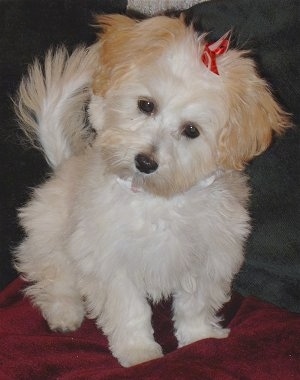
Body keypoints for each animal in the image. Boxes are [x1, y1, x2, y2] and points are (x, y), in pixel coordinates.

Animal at [12, 13, 290, 366]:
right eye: (146, 105)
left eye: (191, 130)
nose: (145, 161)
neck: (157, 199)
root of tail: (65, 164)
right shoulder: (112, 260)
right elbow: (129, 310)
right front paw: (139, 353)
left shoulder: (208, 255)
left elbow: (195, 304)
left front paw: (200, 338)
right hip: (50, 237)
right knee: (53, 277)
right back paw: (65, 314)